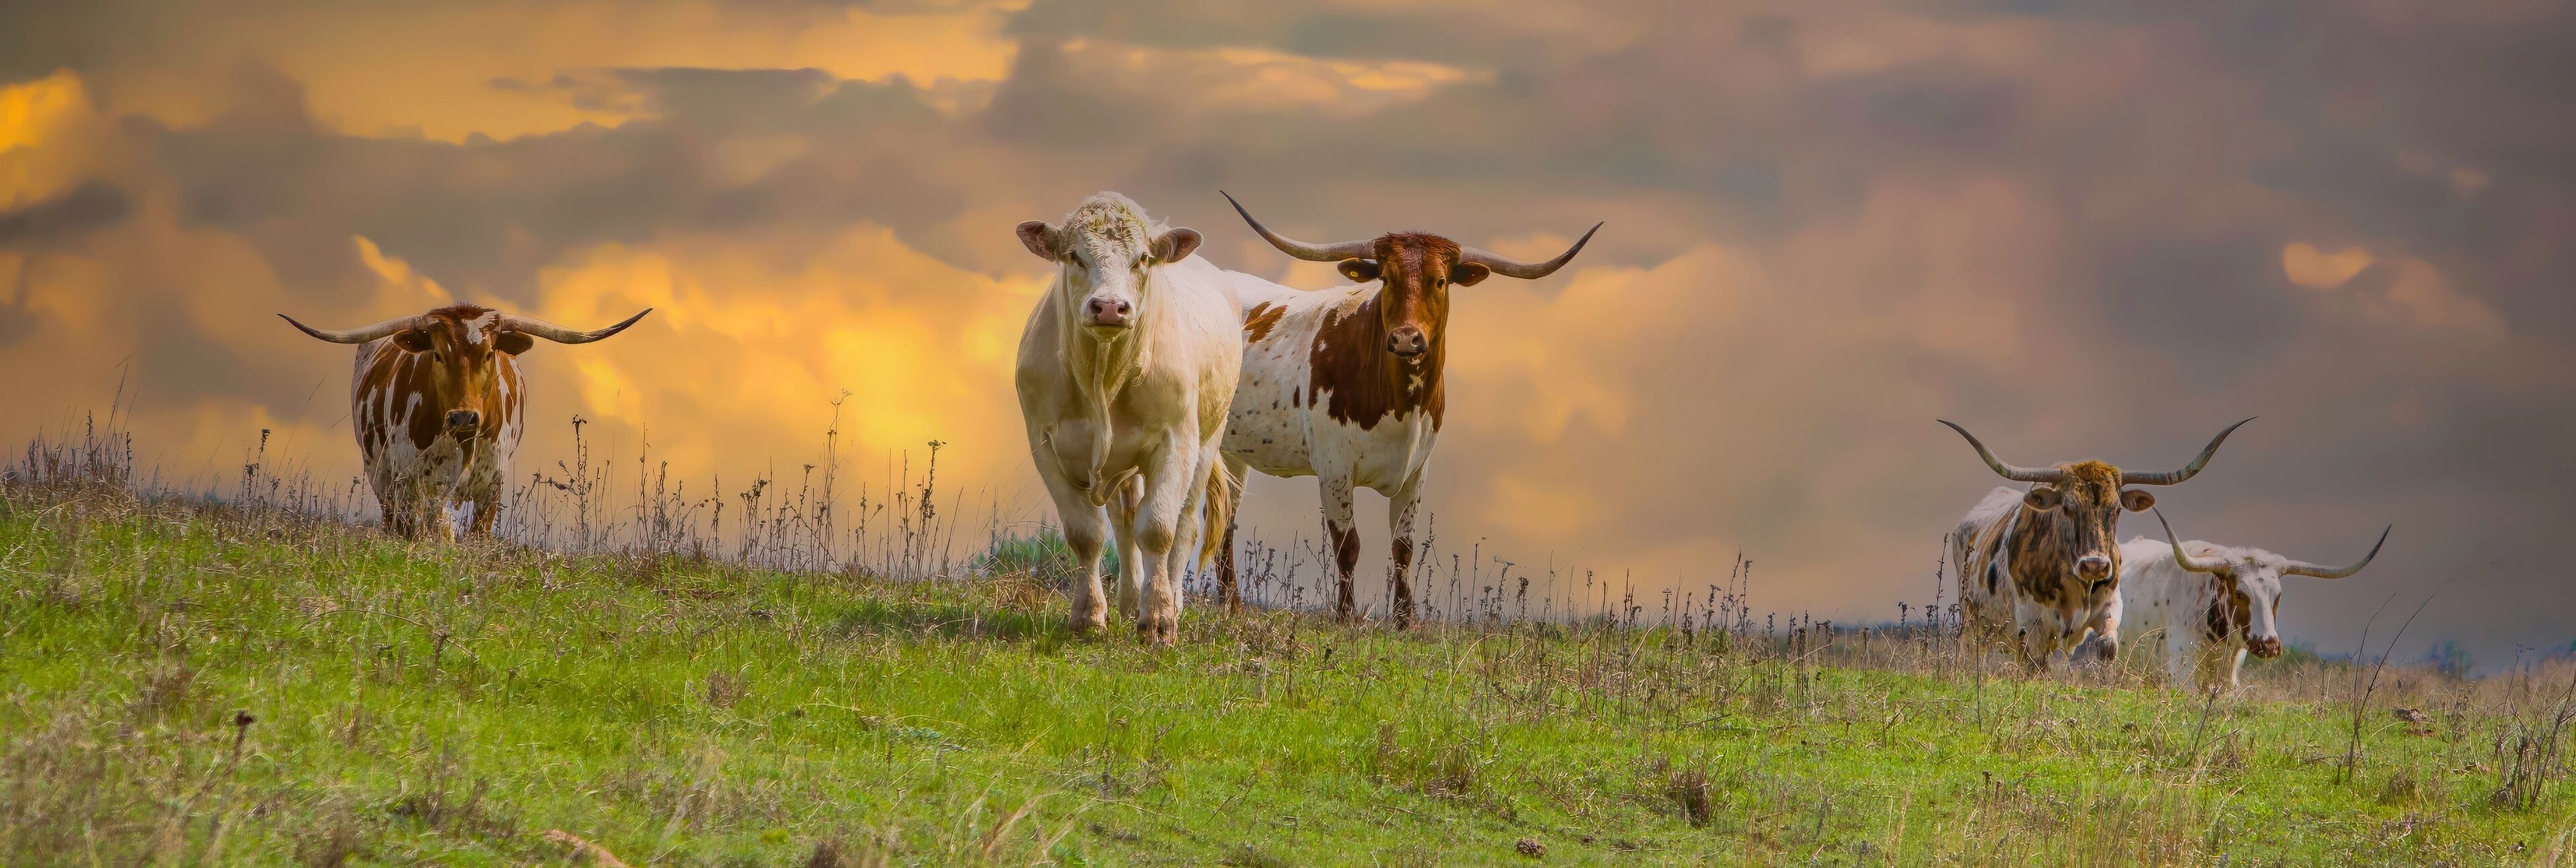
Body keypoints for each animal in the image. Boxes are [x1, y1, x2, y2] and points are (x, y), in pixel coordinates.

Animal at [280, 304, 651, 539]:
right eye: (438, 355)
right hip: (380, 473)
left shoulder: (492, 486)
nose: (463, 416)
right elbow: (433, 533)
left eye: (488, 354)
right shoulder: (417, 484)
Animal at [1013, 192, 1243, 644]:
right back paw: (1128, 600)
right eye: (1075, 256)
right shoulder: (1044, 443)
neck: (1103, 374)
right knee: (1124, 520)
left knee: (1183, 525)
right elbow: (1086, 534)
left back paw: (1172, 600)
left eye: (1142, 259)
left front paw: (1159, 620)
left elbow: (1158, 529)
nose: (1108, 307)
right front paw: (1089, 615)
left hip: (1208, 439)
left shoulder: (1176, 439)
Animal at [1212, 192, 1600, 627]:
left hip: (1234, 452)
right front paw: (1346, 616)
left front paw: (1405, 619)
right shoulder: (1333, 468)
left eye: (1441, 280)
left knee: (1225, 516)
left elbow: (1404, 548)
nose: (1406, 339)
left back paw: (1231, 603)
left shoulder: (1417, 471)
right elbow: (1348, 545)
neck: (1400, 404)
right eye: (1385, 278)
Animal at [1941, 418, 2251, 670]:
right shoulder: (2030, 625)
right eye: (2067, 507)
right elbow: (2035, 666)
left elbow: (2107, 648)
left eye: (2116, 509)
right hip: (1972, 620)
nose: (2095, 566)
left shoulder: (2111, 609)